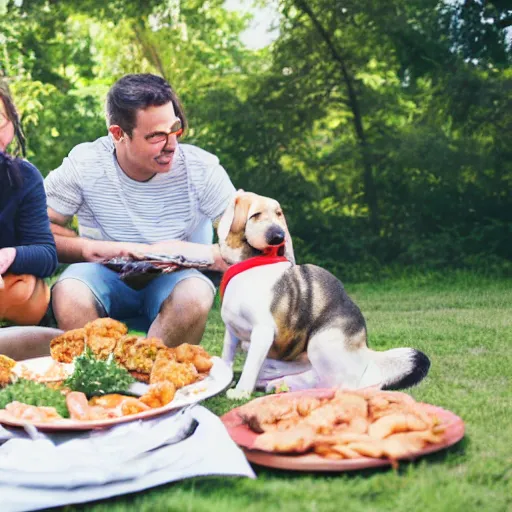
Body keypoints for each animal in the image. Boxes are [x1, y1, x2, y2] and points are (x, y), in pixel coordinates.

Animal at [218, 191, 430, 400]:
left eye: (278, 214)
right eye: (255, 215)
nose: (279, 236)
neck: (252, 264)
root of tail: (366, 355)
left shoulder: (263, 332)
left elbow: (249, 367)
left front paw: (240, 392)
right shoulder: (231, 331)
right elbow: (226, 357)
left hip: (319, 342)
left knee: (344, 385)